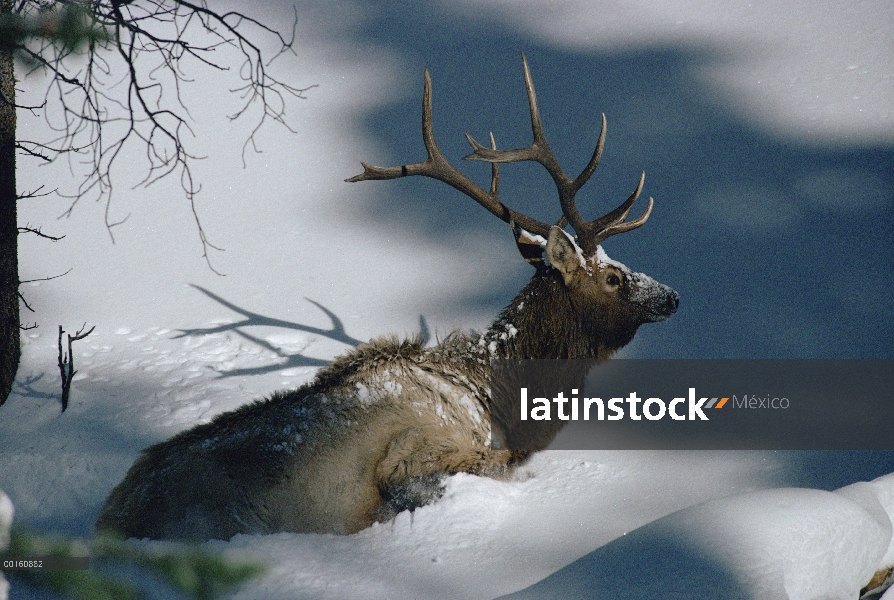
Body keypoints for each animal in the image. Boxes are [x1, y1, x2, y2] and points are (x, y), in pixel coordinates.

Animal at [96, 57, 680, 544]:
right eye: (612, 278)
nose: (672, 296)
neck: (497, 395)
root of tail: (109, 521)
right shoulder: (415, 453)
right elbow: (494, 466)